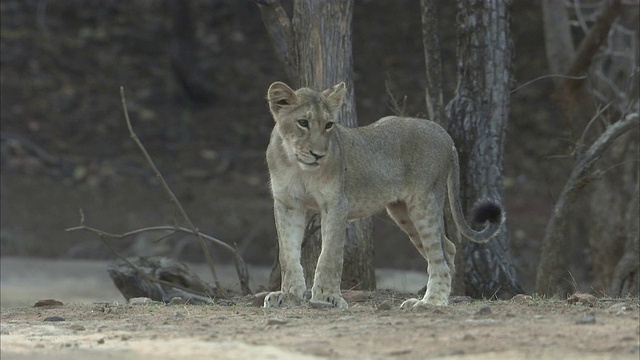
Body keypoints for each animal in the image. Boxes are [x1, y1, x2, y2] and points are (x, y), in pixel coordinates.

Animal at [262, 81, 502, 310]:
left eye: (329, 125)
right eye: (303, 122)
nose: (318, 155)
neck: (297, 165)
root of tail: (445, 135)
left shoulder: (336, 203)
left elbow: (329, 255)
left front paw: (327, 297)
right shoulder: (287, 203)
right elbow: (288, 253)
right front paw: (289, 296)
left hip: (424, 203)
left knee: (439, 257)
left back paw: (430, 302)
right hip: (403, 211)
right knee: (449, 248)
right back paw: (439, 299)